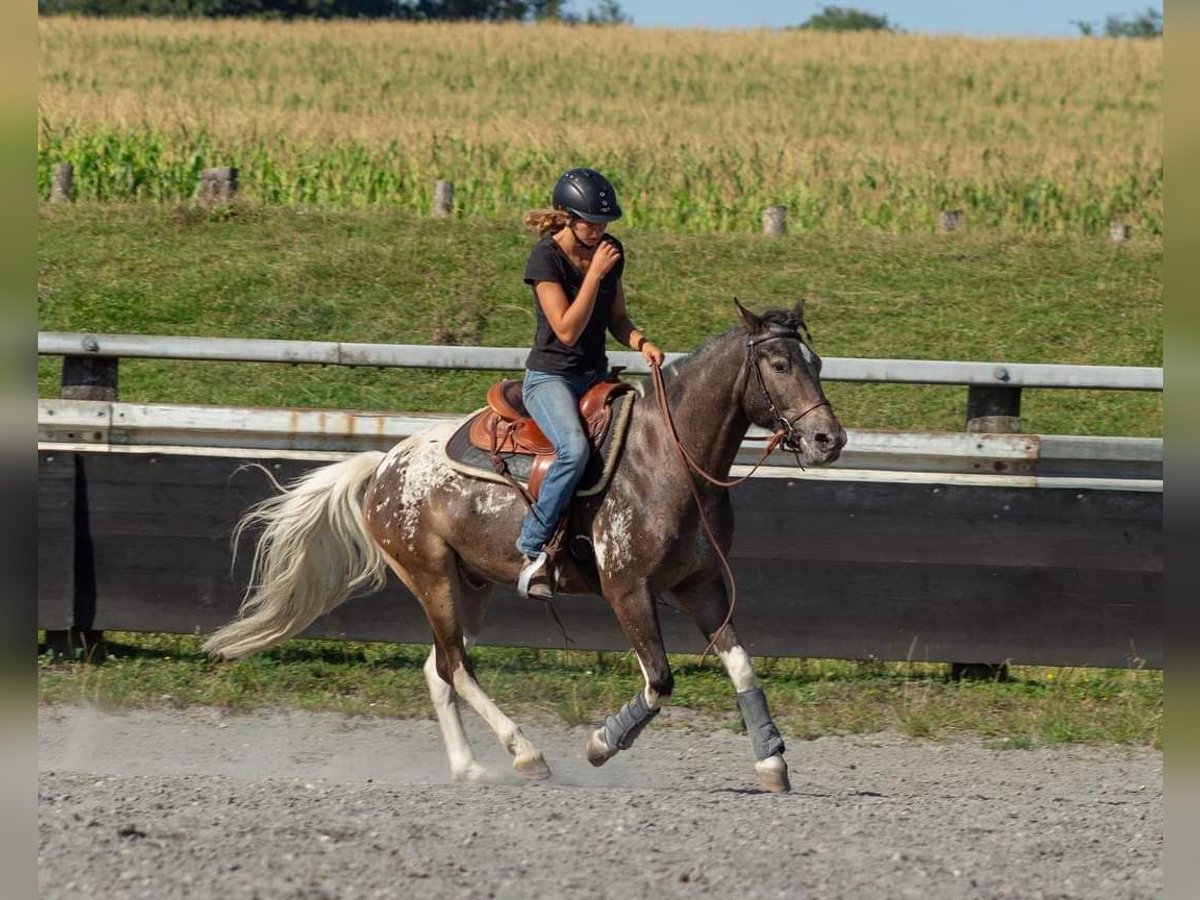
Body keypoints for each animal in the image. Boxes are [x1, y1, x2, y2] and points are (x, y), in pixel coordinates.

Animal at [204, 300, 844, 792]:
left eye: (815, 362)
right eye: (780, 363)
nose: (829, 439)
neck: (666, 458)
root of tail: (384, 465)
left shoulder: (700, 585)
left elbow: (741, 665)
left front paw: (772, 762)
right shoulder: (628, 590)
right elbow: (659, 680)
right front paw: (601, 743)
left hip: (472, 586)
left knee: (438, 668)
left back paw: (470, 768)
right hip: (430, 578)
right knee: (456, 667)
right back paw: (525, 753)